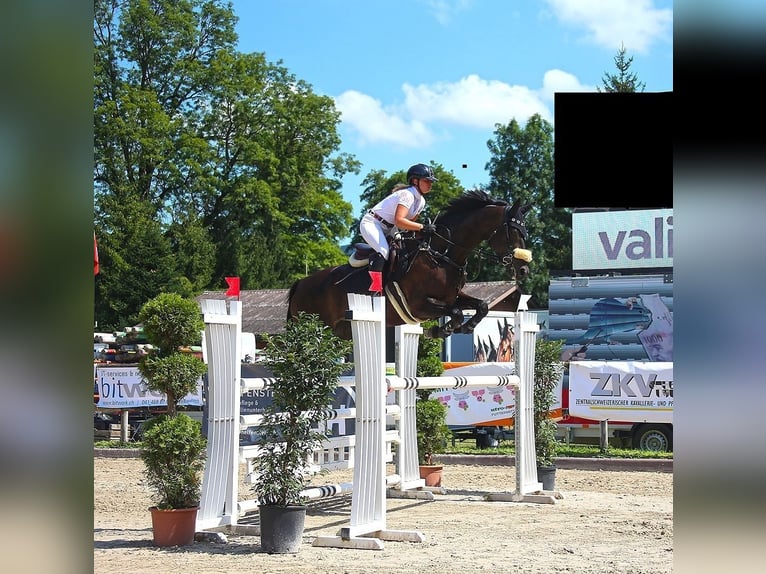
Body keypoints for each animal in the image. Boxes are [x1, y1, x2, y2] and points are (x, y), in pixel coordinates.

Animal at [284, 191, 532, 340]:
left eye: (524, 232)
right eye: (513, 232)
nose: (523, 270)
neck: (442, 255)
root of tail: (301, 283)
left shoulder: (452, 296)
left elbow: (481, 306)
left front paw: (465, 327)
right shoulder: (418, 305)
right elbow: (456, 312)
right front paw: (440, 330)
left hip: (340, 330)